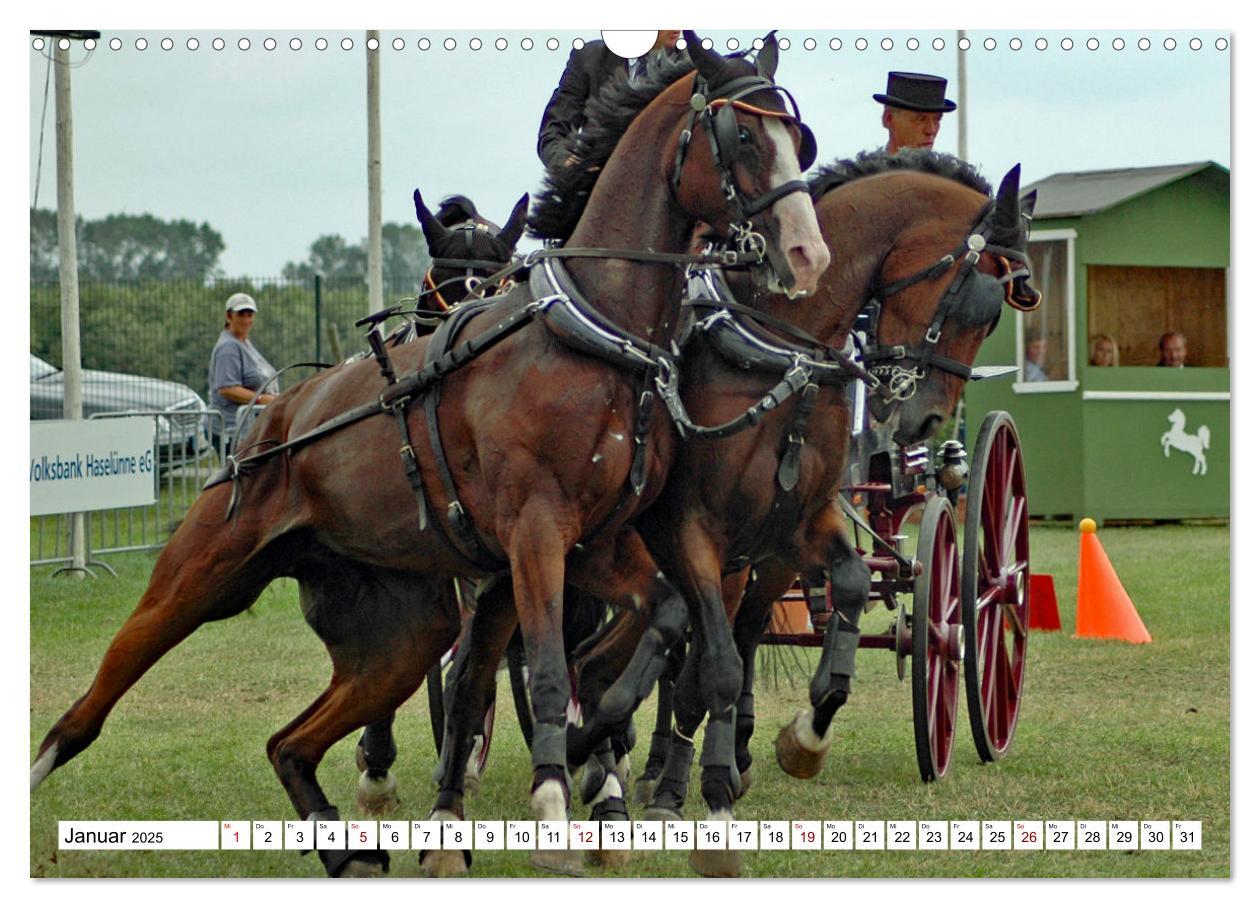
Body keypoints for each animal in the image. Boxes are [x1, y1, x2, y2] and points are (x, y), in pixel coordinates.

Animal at [27, 31, 826, 876]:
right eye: (742, 138)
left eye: (797, 139)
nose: (805, 252)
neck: (592, 337)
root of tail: (268, 426)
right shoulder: (536, 533)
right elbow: (548, 671)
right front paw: (555, 799)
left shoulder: (598, 545)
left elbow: (660, 620)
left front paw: (595, 738)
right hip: (194, 581)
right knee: (93, 702)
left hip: (399, 641)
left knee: (290, 742)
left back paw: (346, 845)